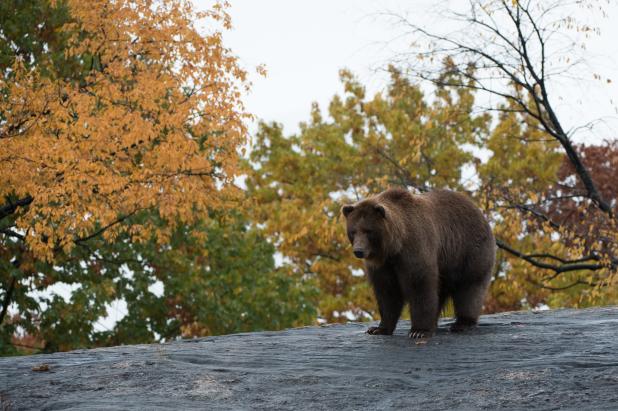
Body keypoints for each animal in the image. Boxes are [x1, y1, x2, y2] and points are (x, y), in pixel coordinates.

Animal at [340, 188, 494, 340]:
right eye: (353, 231)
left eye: (368, 231)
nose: (358, 251)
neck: (395, 247)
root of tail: (479, 212)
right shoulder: (383, 266)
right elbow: (387, 293)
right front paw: (378, 328)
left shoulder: (415, 248)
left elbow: (420, 285)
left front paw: (419, 331)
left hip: (467, 251)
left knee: (469, 288)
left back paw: (462, 323)